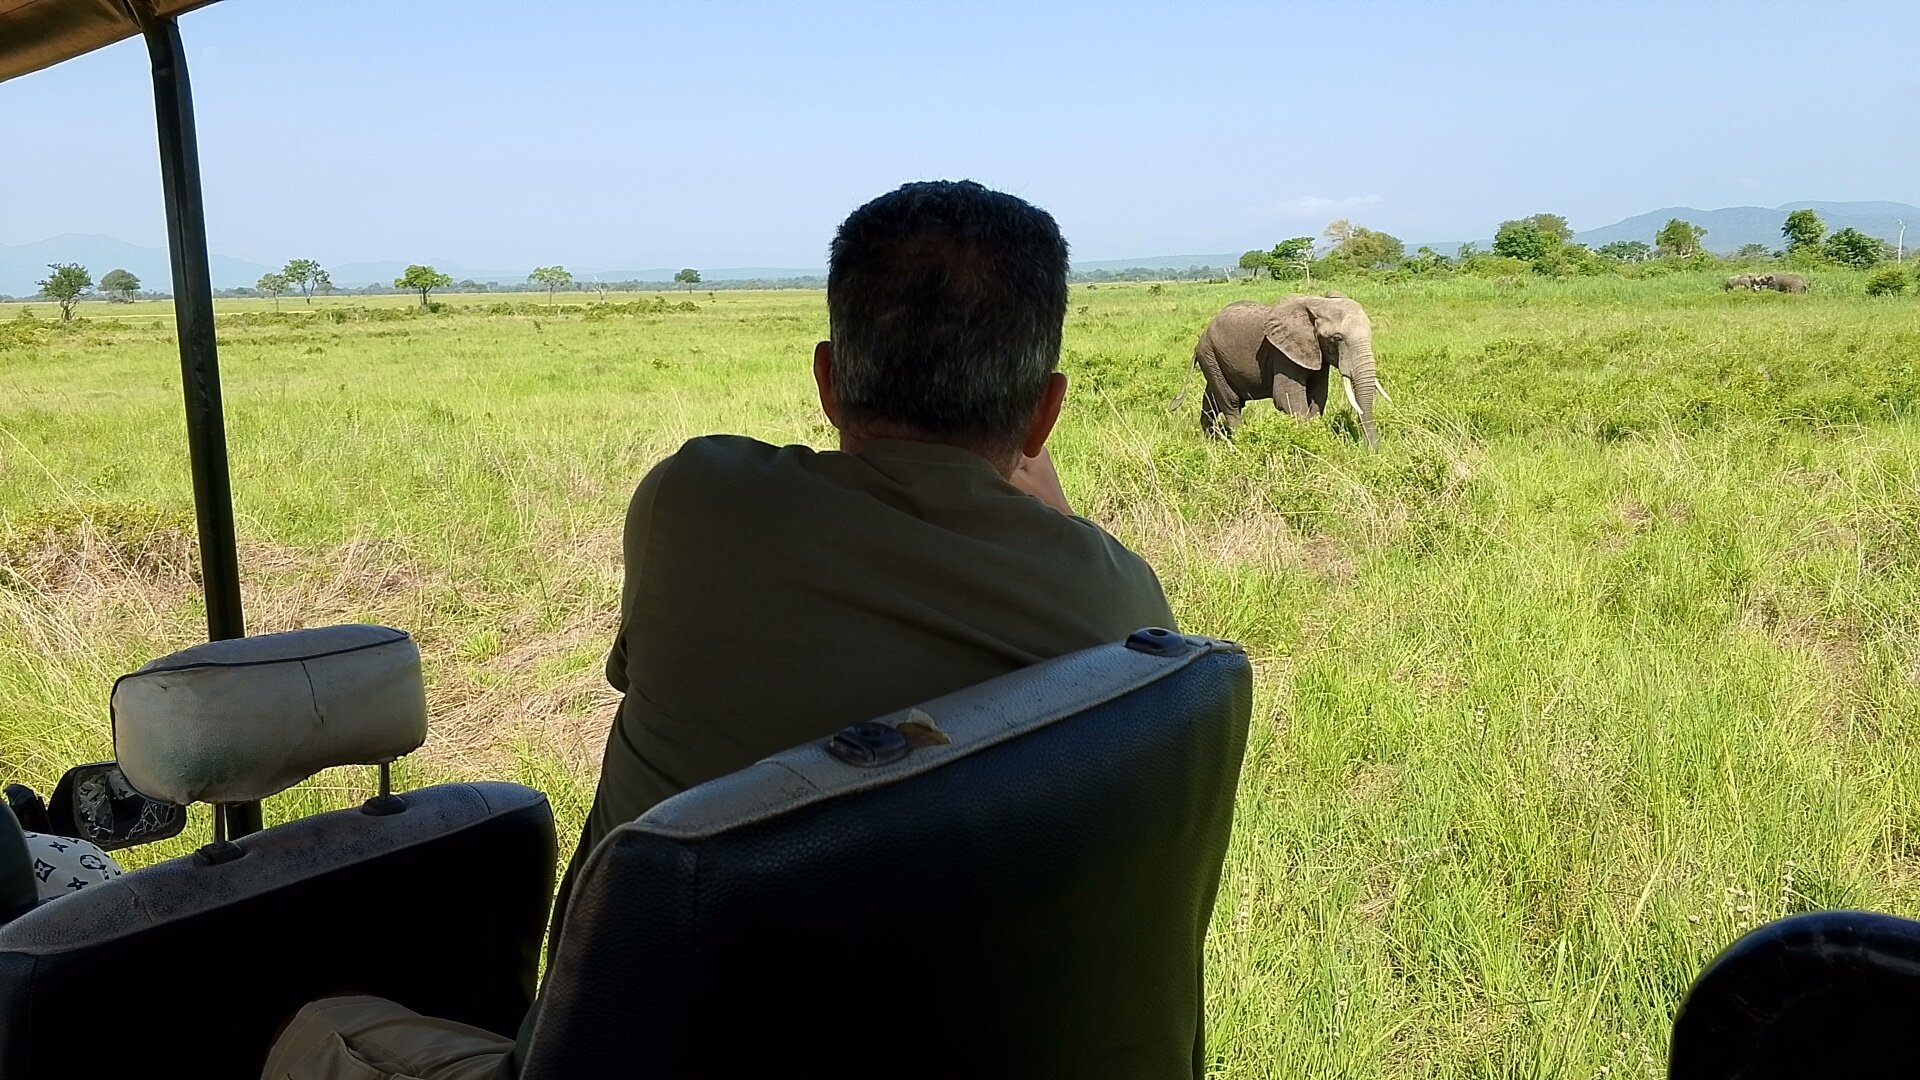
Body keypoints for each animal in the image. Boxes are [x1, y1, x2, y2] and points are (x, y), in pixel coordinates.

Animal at [1172, 293, 1389, 448]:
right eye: (1337, 338)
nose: (1374, 450)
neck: (1317, 303)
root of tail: (1200, 339)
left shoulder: (1316, 354)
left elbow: (1319, 395)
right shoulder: (1282, 353)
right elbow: (1287, 396)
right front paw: (1307, 441)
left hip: (1214, 359)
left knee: (1212, 398)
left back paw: (1210, 441)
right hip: (1210, 355)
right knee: (1231, 402)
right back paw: (1239, 442)